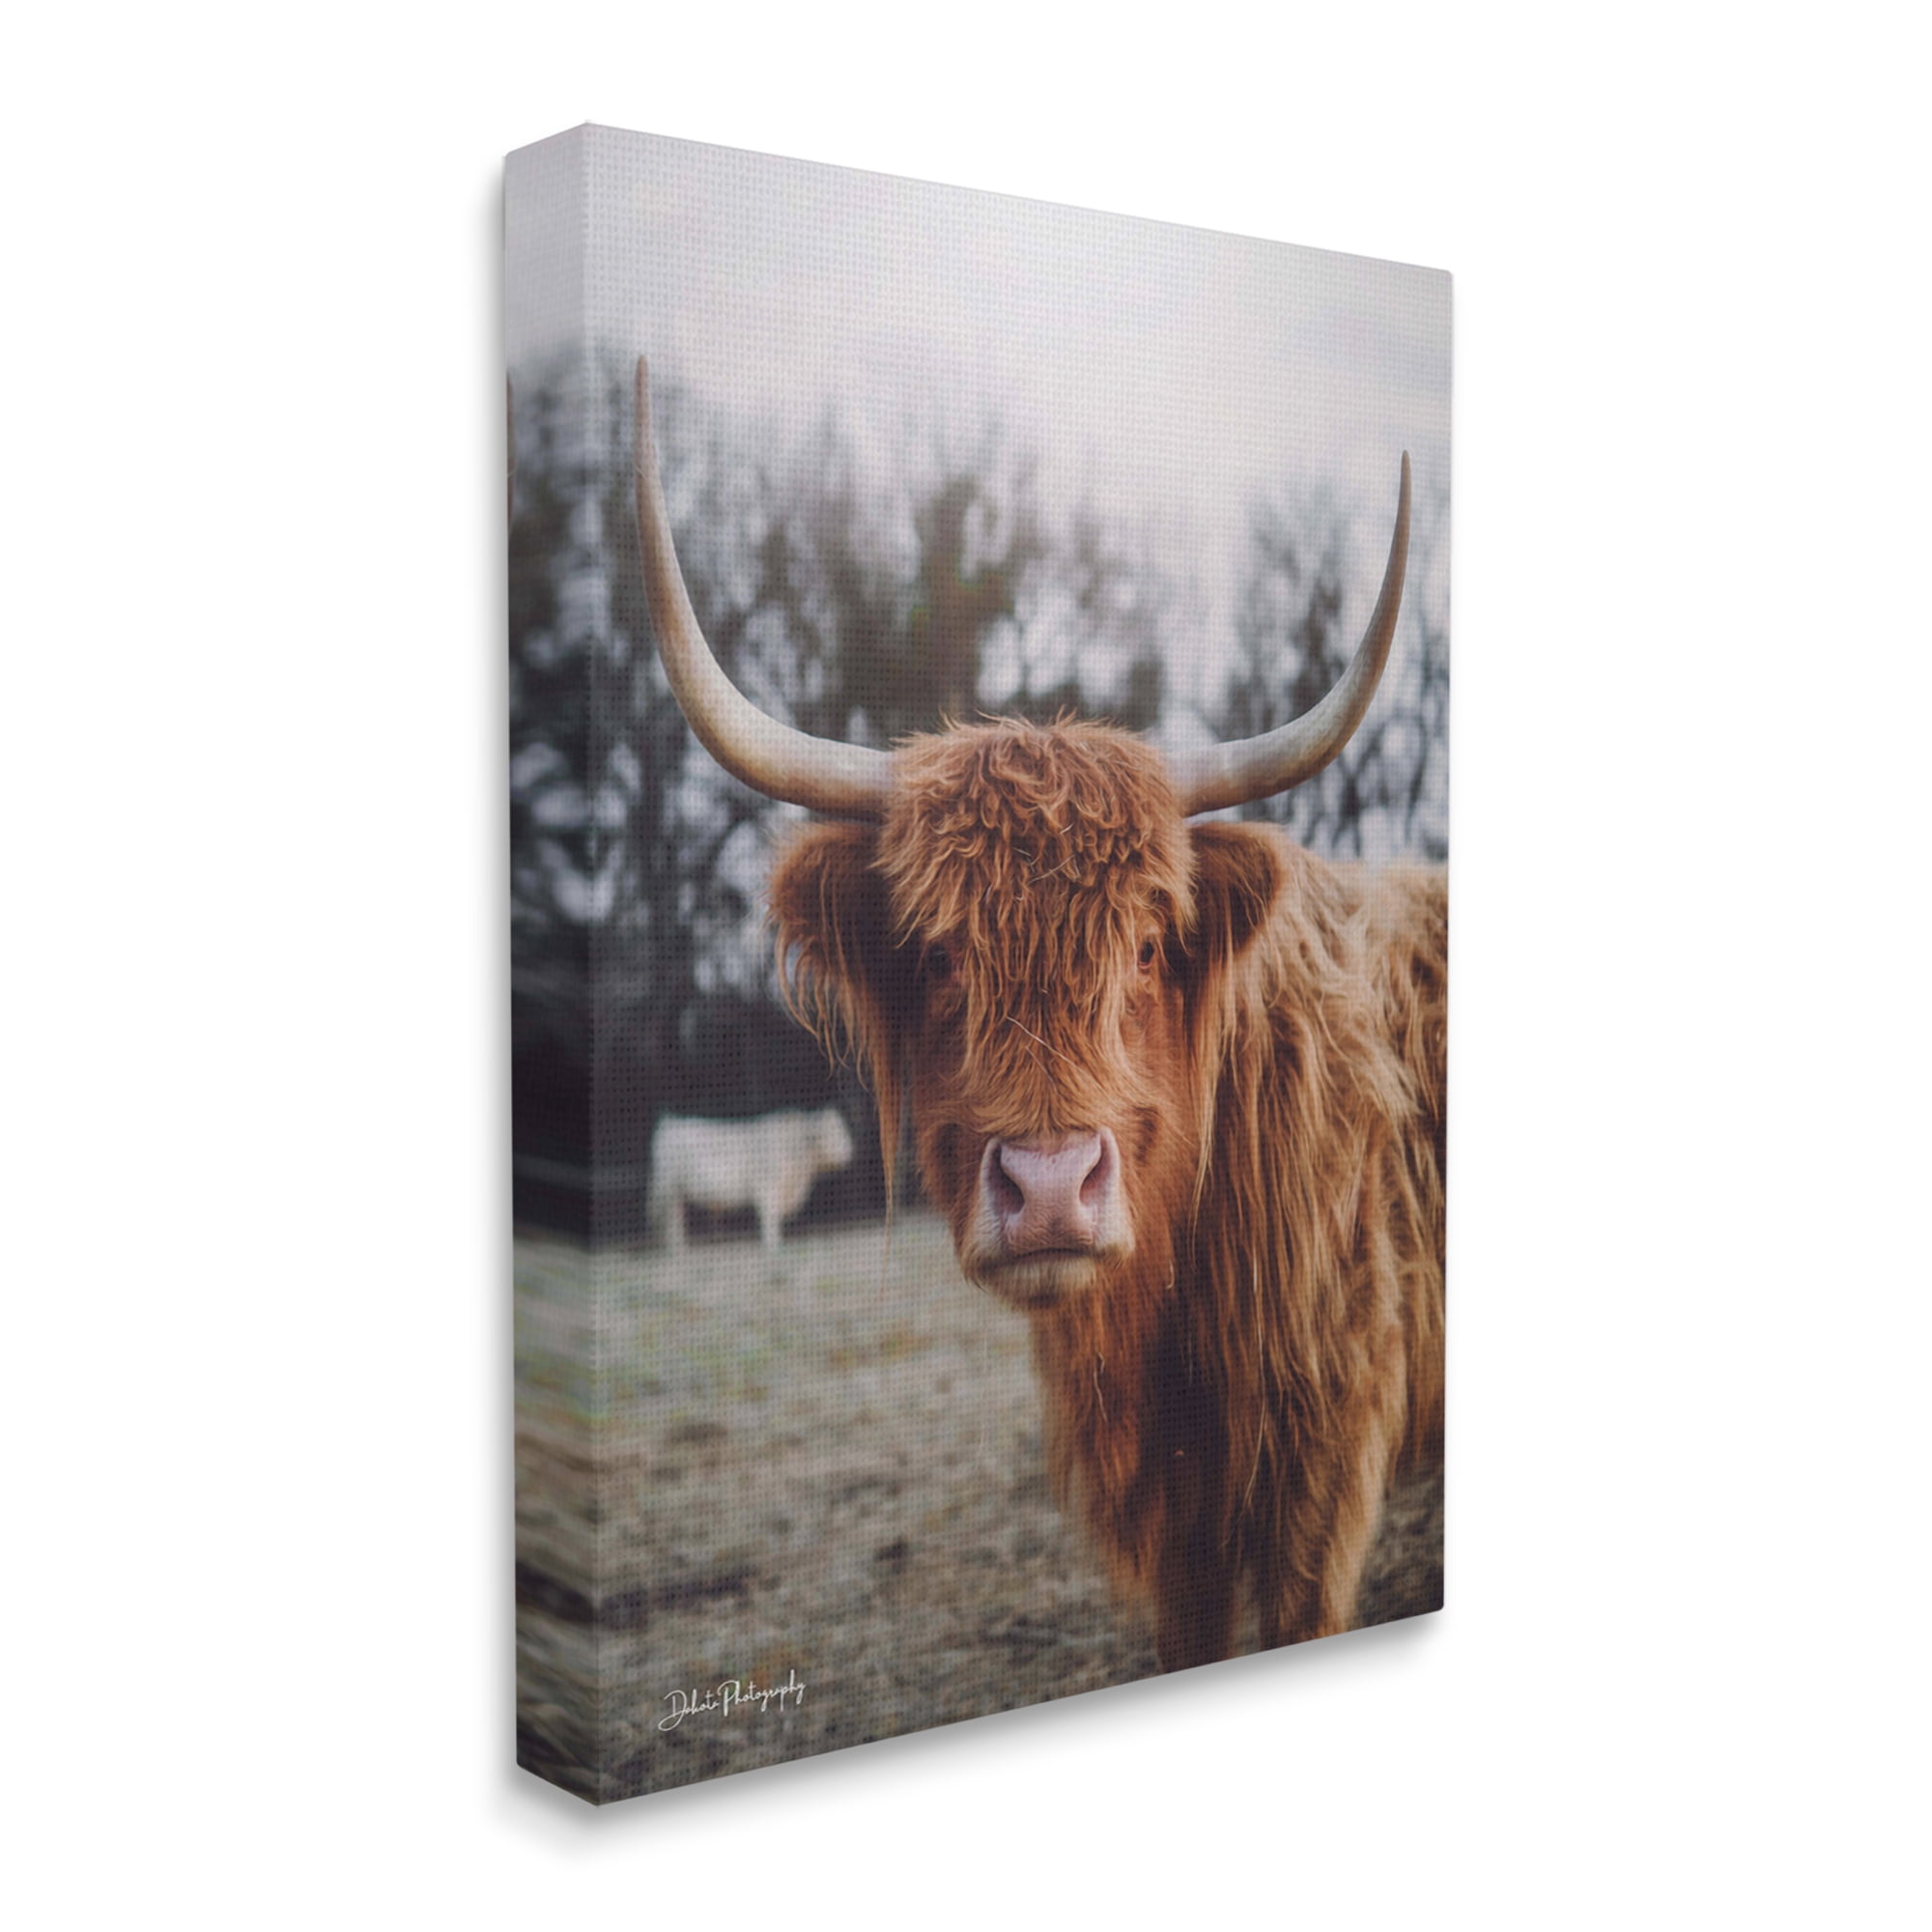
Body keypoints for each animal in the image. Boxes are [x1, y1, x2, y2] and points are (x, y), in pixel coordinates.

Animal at [646, 1106, 856, 1252]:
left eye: (843, 1132)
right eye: (829, 1134)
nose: (848, 1153)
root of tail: (671, 1122)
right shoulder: (766, 1189)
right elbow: (769, 1219)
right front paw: (773, 1246)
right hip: (669, 1187)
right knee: (670, 1221)